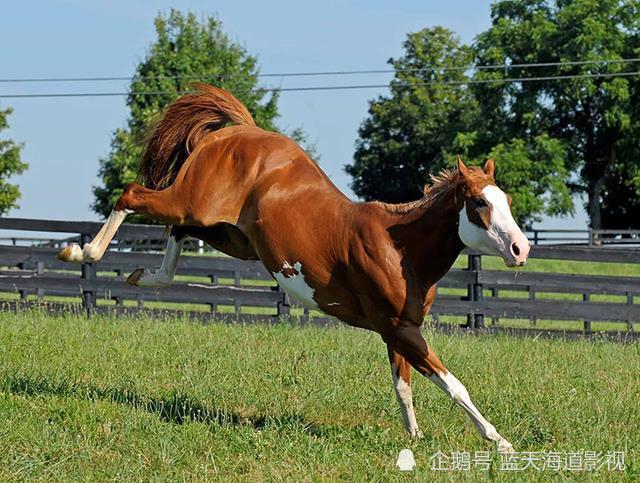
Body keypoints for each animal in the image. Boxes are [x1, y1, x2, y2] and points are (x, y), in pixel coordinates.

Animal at [58, 84, 528, 454]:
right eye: (480, 202)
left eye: (504, 199)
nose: (521, 249)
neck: (400, 248)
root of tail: (236, 130)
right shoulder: (400, 329)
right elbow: (452, 383)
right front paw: (499, 441)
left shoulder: (399, 330)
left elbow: (403, 385)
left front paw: (414, 439)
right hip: (191, 203)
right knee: (132, 195)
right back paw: (79, 252)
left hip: (227, 233)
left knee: (177, 232)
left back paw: (141, 276)